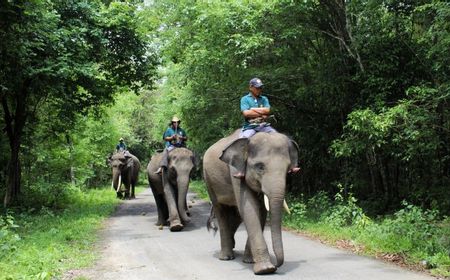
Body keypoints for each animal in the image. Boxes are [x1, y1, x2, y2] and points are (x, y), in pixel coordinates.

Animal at [204, 130, 298, 274]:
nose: (277, 265)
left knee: (236, 214)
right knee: (221, 211)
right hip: (209, 181)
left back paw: (232, 246)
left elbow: (261, 211)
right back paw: (226, 257)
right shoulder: (236, 172)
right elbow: (249, 209)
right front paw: (265, 269)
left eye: (288, 169)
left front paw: (250, 261)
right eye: (260, 167)